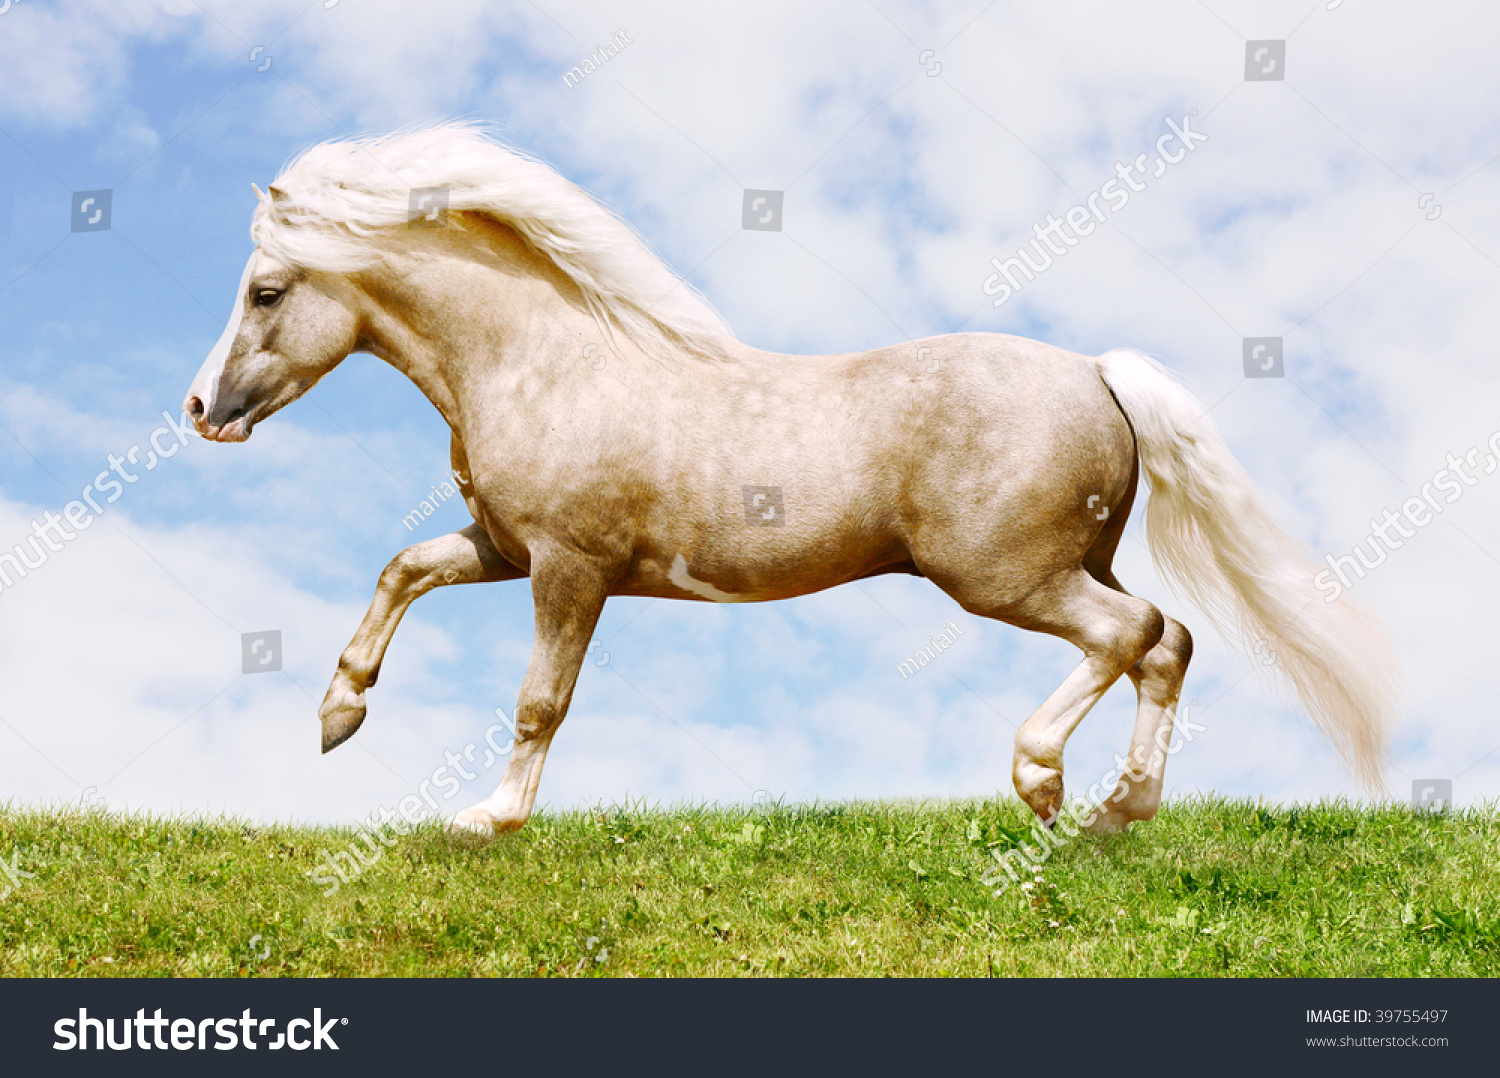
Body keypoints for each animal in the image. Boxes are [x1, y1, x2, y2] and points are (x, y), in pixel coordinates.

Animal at [184, 124, 1392, 833]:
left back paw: (1045, 780)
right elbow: (402, 569)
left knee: (1131, 633)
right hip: (1069, 561)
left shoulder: (571, 567)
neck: (545, 360)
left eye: (266, 291)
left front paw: (491, 818)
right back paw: (1121, 812)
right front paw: (339, 713)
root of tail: (1097, 370)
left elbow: (539, 700)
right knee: (1168, 641)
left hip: (1004, 576)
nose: (201, 411)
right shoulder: (507, 549)